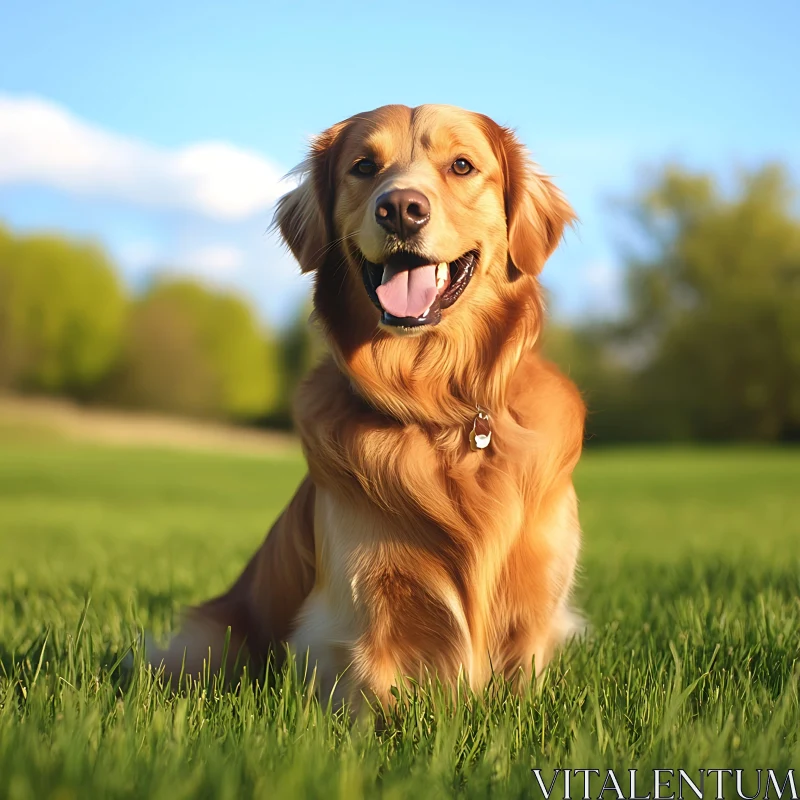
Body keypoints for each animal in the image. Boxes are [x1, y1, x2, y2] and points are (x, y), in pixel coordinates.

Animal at [152, 103, 588, 704]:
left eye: (461, 165)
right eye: (363, 166)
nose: (401, 209)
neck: (437, 411)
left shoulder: (537, 606)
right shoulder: (355, 611)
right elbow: (374, 703)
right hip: (209, 641)